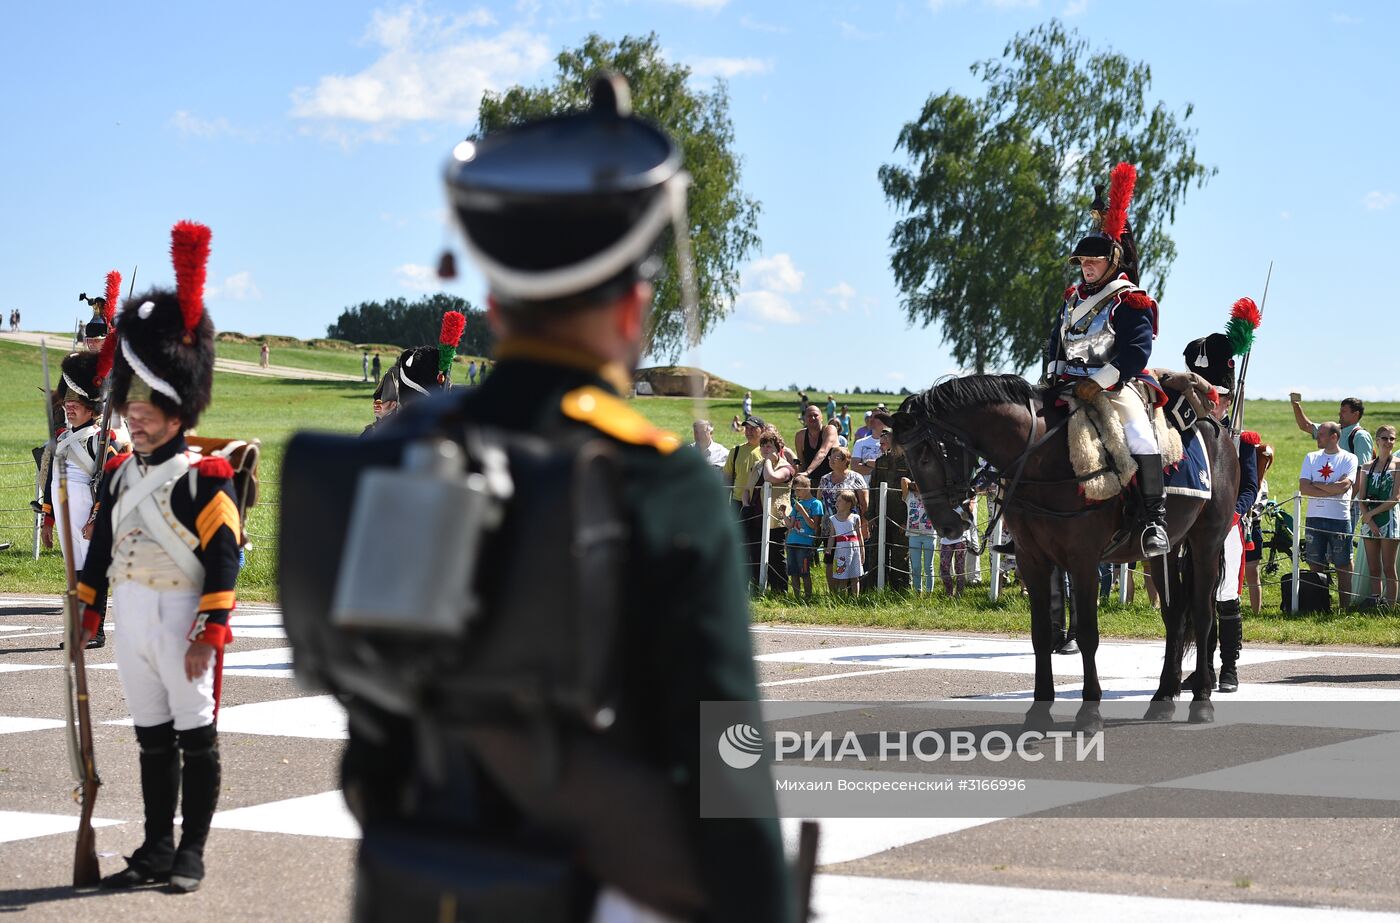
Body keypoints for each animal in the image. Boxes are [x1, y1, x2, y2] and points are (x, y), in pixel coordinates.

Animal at [890, 372, 1243, 728]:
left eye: (925, 455)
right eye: (907, 459)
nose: (948, 526)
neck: (1042, 458)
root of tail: (1220, 431)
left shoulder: (1083, 560)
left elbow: (1087, 634)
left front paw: (1089, 712)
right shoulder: (1033, 560)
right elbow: (1040, 633)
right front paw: (1038, 712)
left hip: (1206, 542)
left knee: (1202, 614)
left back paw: (1201, 700)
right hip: (1164, 553)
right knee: (1174, 616)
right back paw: (1163, 697)